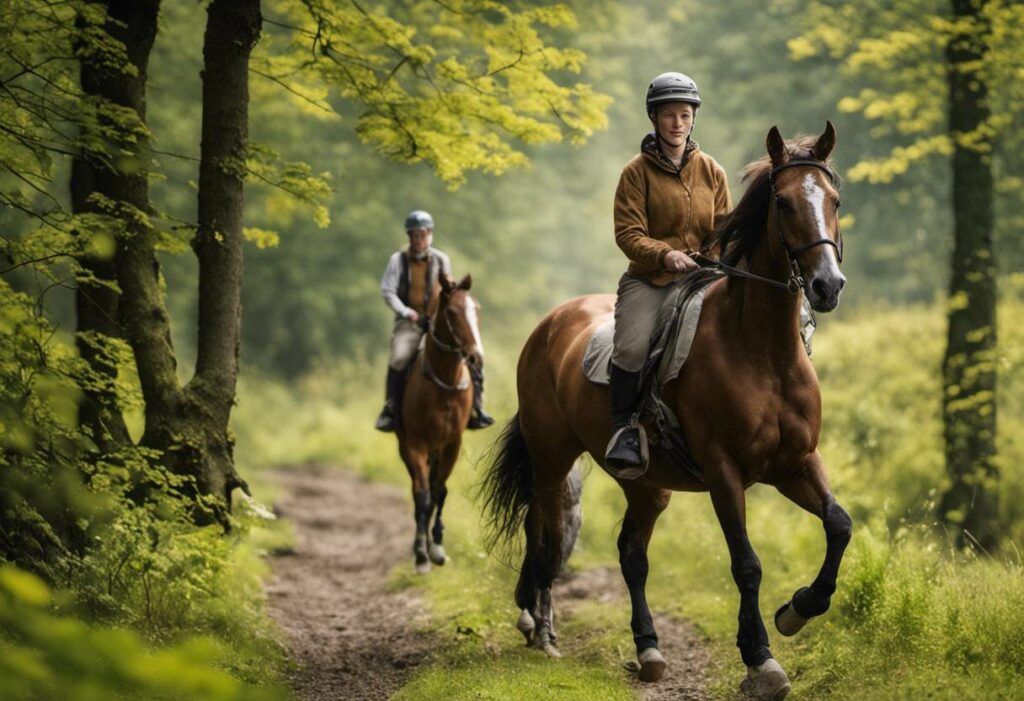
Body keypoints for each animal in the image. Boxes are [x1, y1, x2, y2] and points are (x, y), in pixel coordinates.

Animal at [397, 270, 481, 573]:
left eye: (477, 310)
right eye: (453, 312)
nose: (476, 357)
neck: (443, 385)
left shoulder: (452, 444)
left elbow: (439, 492)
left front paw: (438, 548)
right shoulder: (416, 445)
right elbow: (423, 496)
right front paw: (422, 555)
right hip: (407, 449)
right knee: (417, 492)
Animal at [483, 122, 851, 695]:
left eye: (834, 200)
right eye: (785, 203)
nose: (826, 286)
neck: (760, 351)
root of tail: (549, 325)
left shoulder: (795, 463)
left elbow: (839, 524)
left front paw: (797, 610)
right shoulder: (724, 470)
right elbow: (746, 564)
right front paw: (760, 659)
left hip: (645, 485)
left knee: (631, 556)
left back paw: (648, 649)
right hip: (552, 460)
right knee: (545, 533)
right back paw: (541, 629)